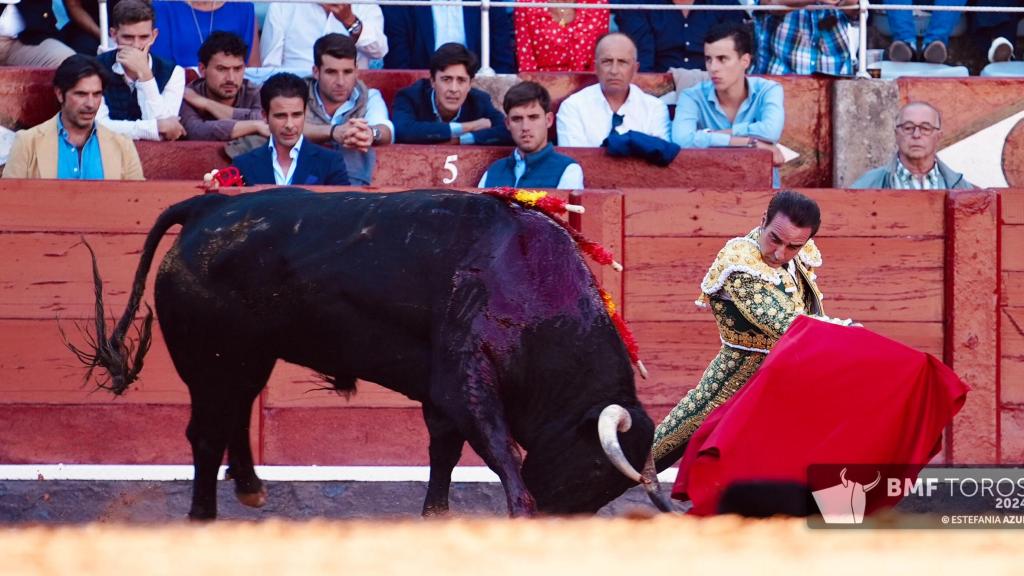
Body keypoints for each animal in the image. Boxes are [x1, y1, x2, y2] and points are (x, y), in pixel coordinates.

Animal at [74, 187, 663, 516]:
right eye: (590, 470)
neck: (530, 283)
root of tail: (208, 206)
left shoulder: (442, 395)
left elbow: (444, 454)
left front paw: (436, 517)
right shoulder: (464, 380)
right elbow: (500, 454)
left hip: (245, 357)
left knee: (233, 416)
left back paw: (250, 489)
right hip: (210, 359)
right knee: (205, 433)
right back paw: (203, 517)